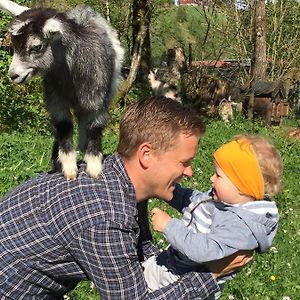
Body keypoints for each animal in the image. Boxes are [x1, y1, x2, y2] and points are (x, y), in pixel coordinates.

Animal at [0, 0, 123, 178]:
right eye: (13, 46)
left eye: (36, 46)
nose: (14, 75)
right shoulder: (57, 103)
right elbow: (64, 128)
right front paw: (69, 169)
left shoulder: (97, 102)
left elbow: (94, 128)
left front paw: (94, 167)